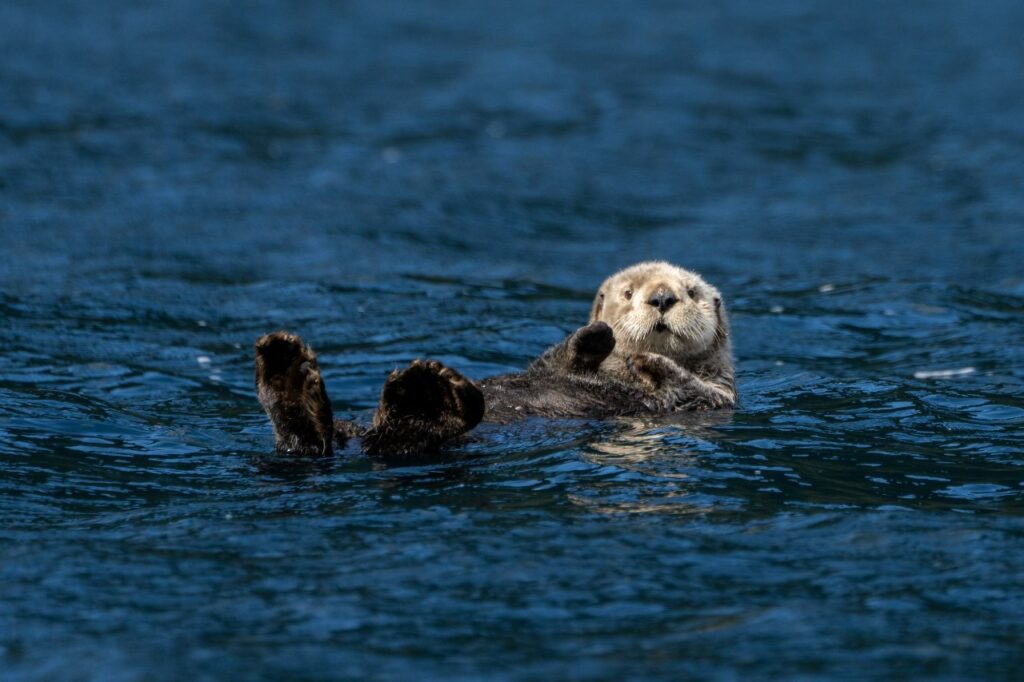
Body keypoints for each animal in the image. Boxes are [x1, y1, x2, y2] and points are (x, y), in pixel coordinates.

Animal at [254, 261, 735, 459]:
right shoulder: (557, 362)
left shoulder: (716, 397)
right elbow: (558, 357)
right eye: (629, 293)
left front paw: (649, 364)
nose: (662, 298)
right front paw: (598, 335)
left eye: (690, 292)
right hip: (349, 431)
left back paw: (422, 393)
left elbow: (689, 389)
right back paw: (286, 366)